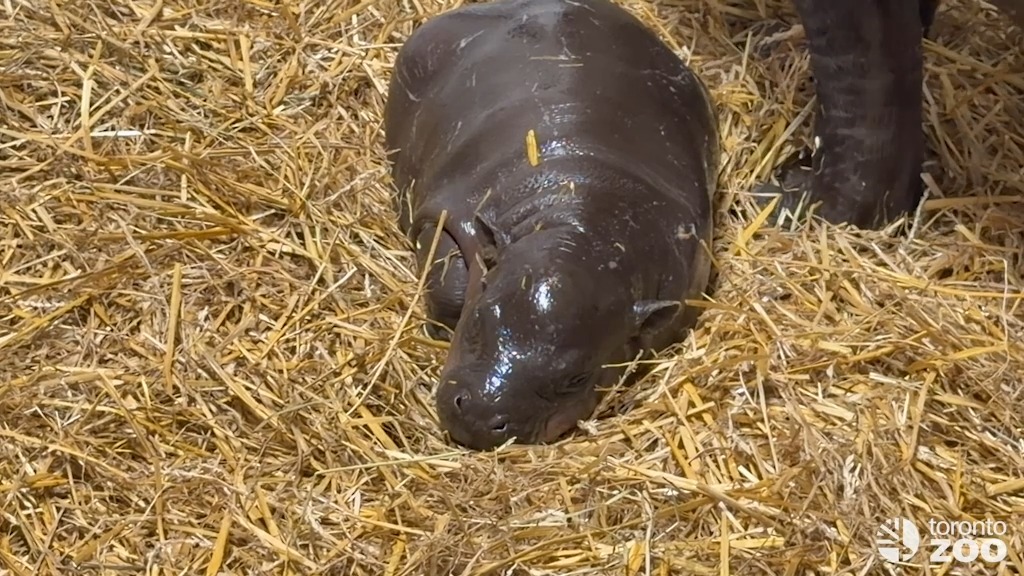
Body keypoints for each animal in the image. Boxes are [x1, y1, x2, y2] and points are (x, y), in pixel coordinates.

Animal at [383, 0, 719, 450]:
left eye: (576, 377)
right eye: (481, 317)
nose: (479, 416)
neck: (583, 225)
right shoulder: (452, 216)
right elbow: (451, 287)